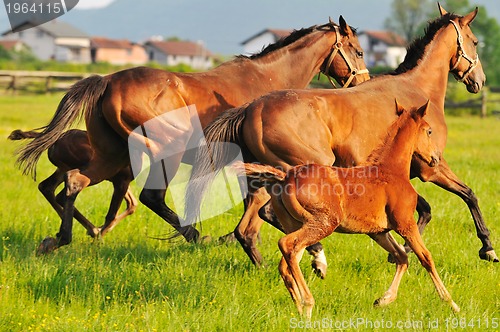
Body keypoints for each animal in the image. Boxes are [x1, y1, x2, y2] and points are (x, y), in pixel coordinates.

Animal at [8, 128, 137, 253]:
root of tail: (56, 140)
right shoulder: (121, 180)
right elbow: (113, 214)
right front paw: (97, 240)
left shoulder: (120, 180)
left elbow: (132, 204)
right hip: (85, 172)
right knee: (62, 193)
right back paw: (88, 231)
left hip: (62, 169)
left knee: (46, 187)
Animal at [187, 4, 496, 272]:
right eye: (475, 41)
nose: (479, 81)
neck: (417, 89)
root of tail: (252, 109)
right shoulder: (431, 167)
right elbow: (466, 195)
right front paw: (487, 248)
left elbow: (428, 208)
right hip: (304, 169)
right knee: (274, 218)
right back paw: (316, 256)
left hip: (263, 176)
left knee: (252, 225)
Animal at [240, 102, 458, 320]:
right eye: (429, 131)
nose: (436, 158)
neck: (391, 171)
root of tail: (287, 176)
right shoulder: (405, 224)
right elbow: (425, 257)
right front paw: (451, 303)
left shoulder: (378, 232)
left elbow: (402, 257)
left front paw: (382, 300)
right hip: (323, 223)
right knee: (286, 245)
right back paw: (308, 303)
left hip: (297, 224)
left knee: (286, 263)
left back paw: (301, 311)